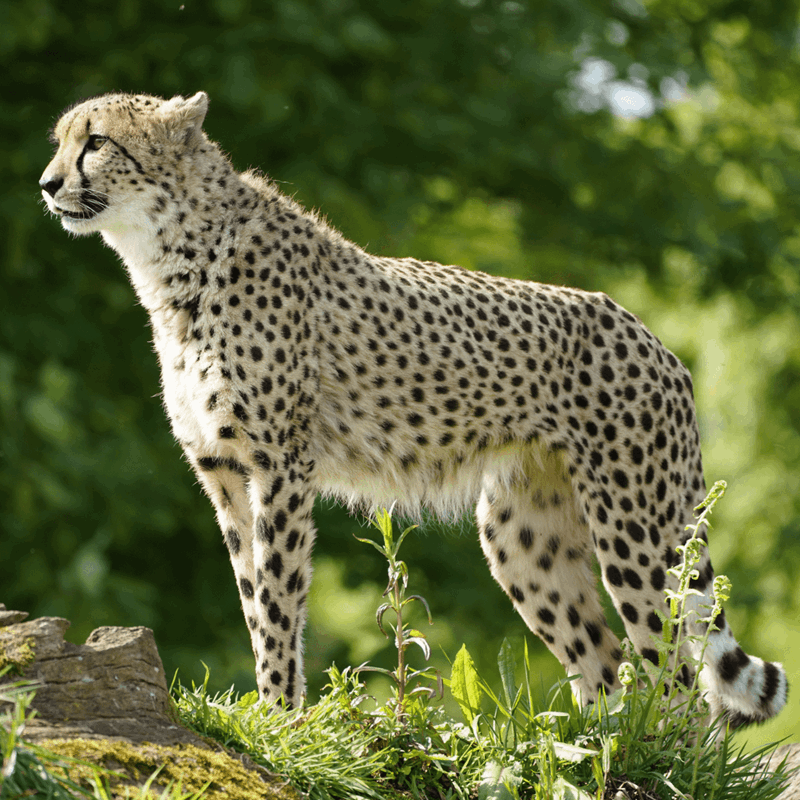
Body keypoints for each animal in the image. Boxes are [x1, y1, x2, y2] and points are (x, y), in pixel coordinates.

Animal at [40, 91, 787, 728]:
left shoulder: (279, 467)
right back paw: (597, 751)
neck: (174, 257)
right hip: (523, 538)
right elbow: (253, 598)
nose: (46, 184)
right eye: (61, 142)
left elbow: (280, 602)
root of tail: (654, 339)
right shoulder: (222, 471)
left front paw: (280, 717)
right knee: (606, 664)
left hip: (636, 529)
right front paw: (266, 710)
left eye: (96, 142)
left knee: (682, 686)